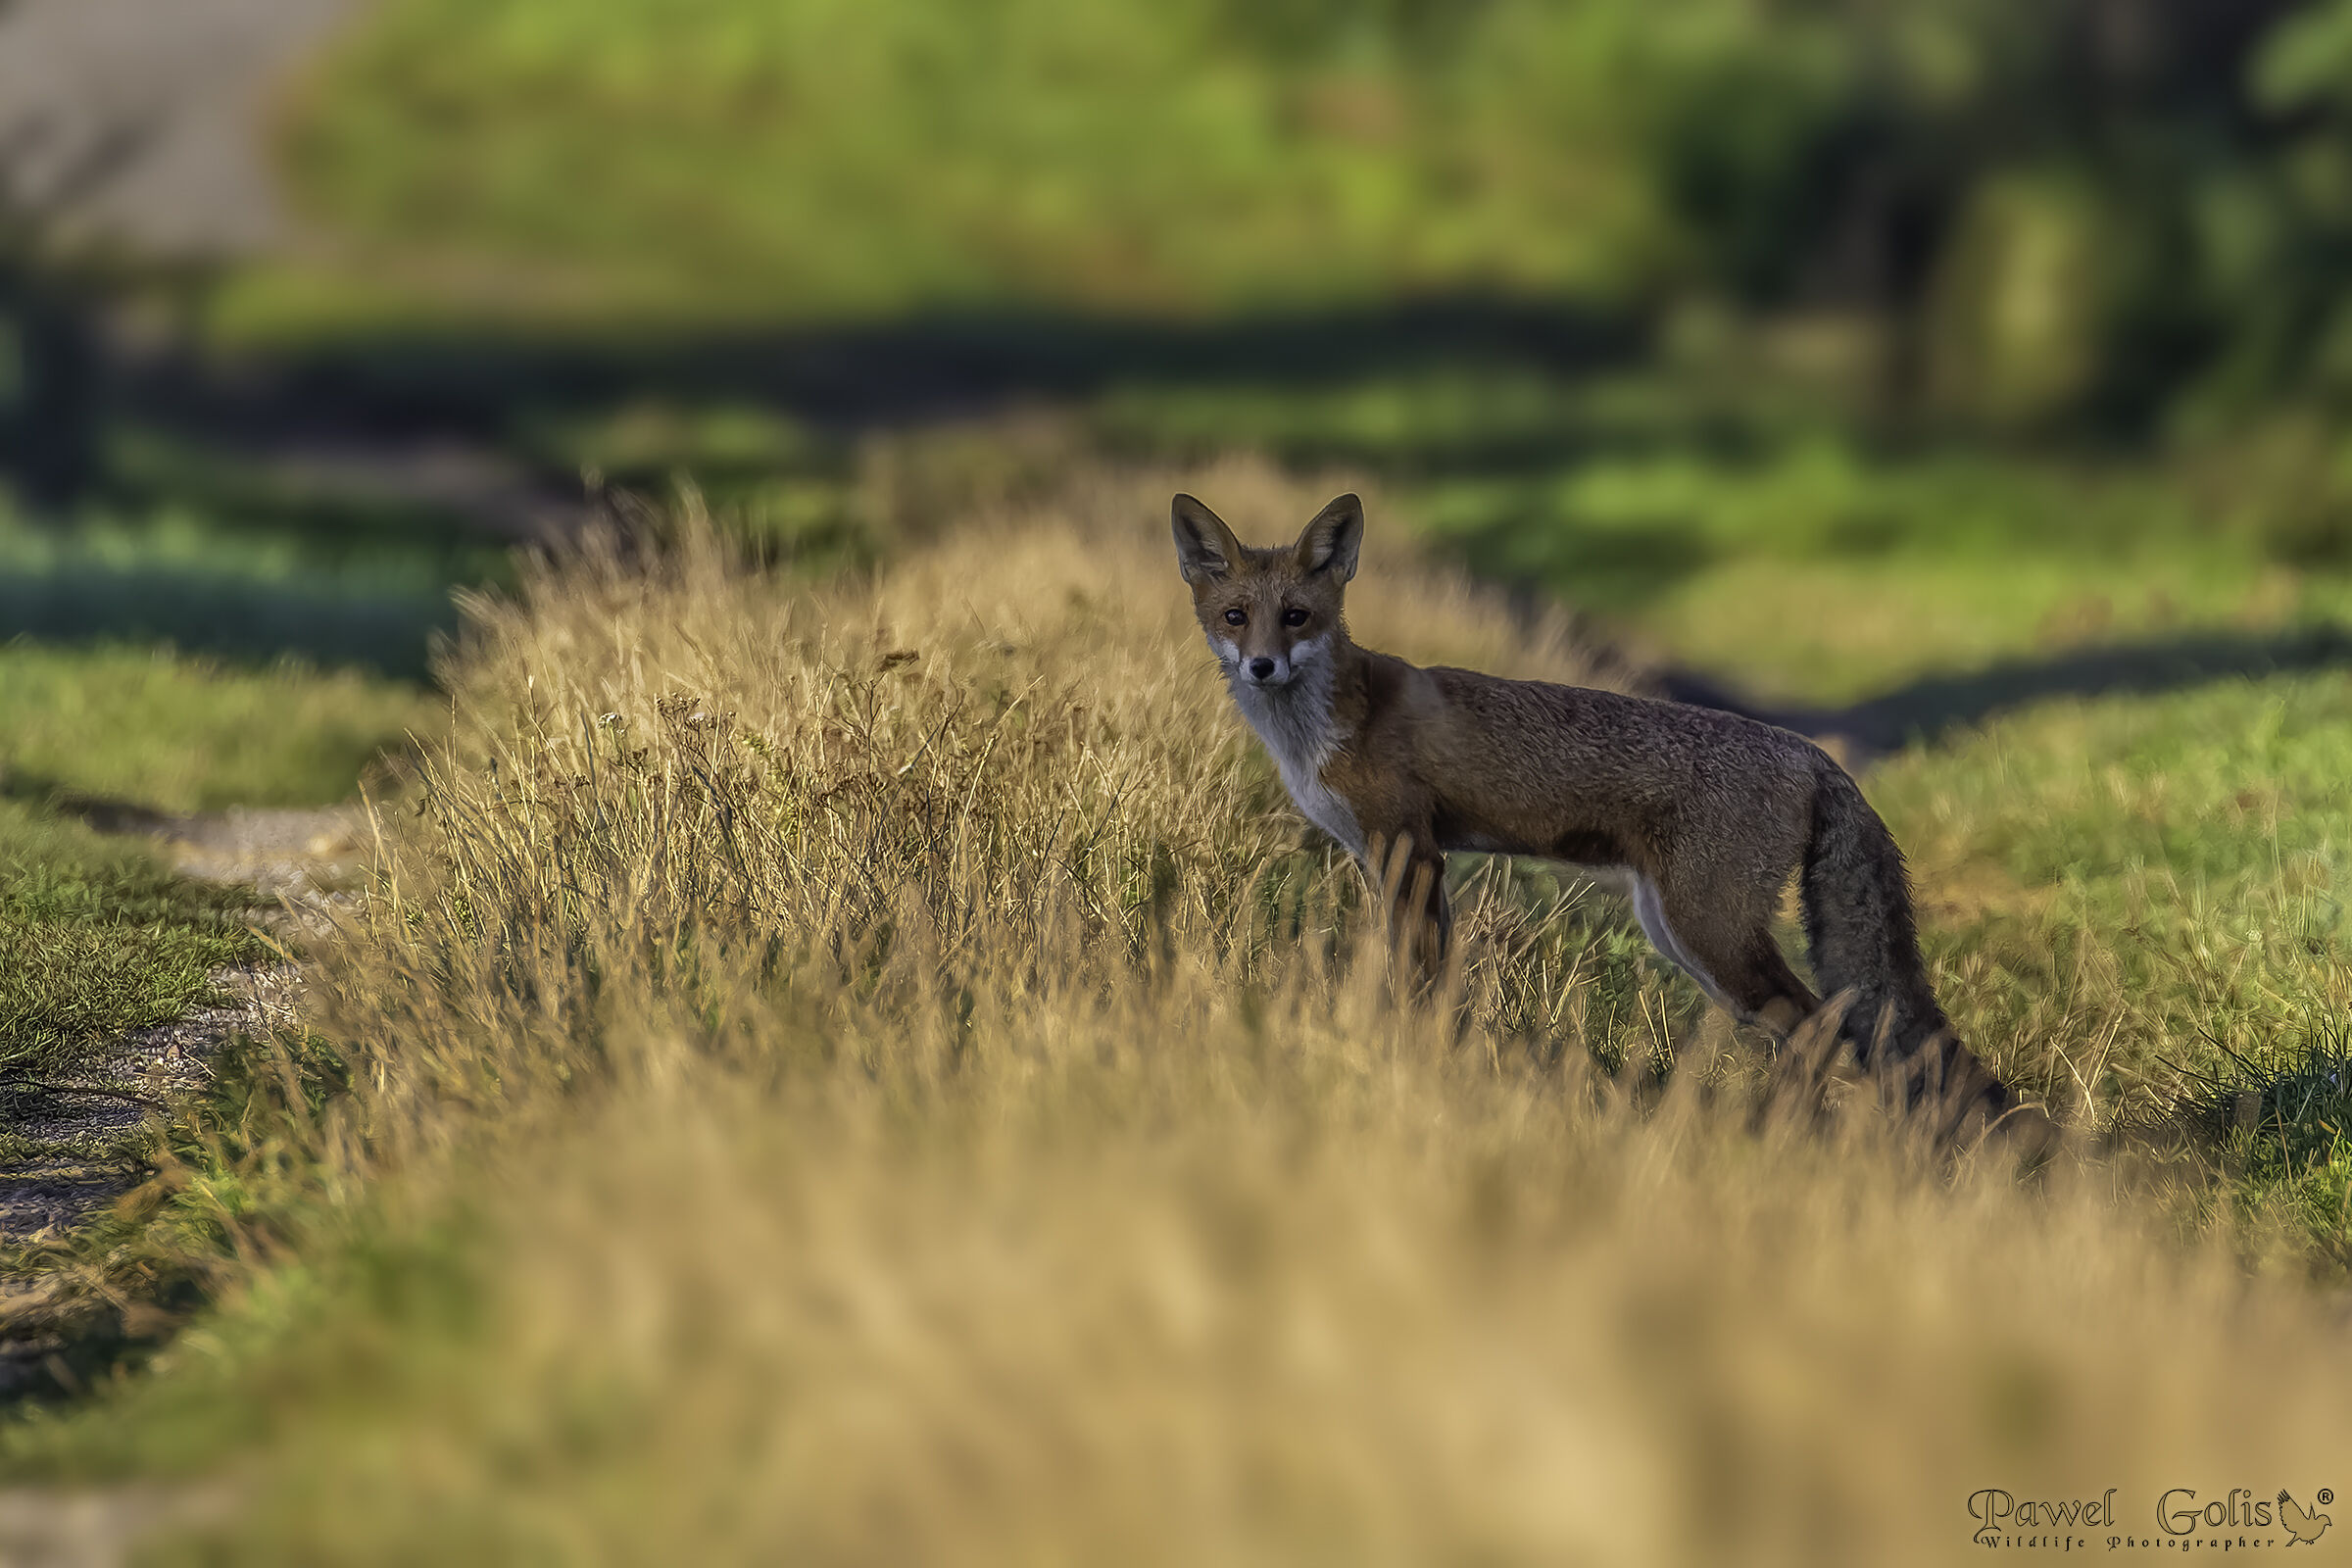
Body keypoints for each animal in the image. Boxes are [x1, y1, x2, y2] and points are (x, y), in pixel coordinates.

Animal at [1172, 489, 2049, 1147]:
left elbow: (1412, 982)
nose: (1261, 666)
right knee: (1820, 1028)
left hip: (1708, 929)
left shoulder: (1409, 851)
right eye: (1235, 616)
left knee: (1818, 1025)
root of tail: (1811, 752)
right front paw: (1427, 1068)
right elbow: (1429, 982)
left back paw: (1768, 1142)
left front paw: (1404, 1068)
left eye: (1296, 616)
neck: (1326, 725)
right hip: (1680, 929)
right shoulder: (1396, 859)